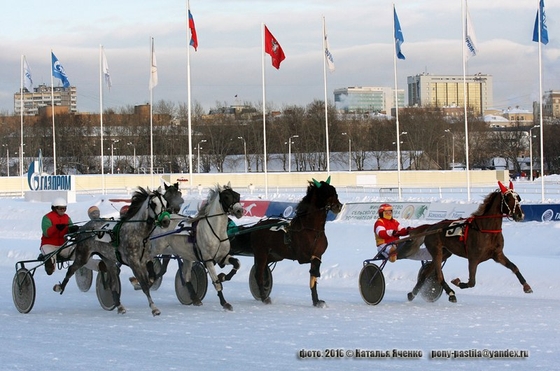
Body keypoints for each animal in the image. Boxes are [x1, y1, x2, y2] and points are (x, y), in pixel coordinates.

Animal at [54, 187, 171, 316]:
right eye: (153, 203)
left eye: (165, 203)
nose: (166, 221)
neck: (139, 234)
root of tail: (84, 227)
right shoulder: (134, 263)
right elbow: (144, 284)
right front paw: (154, 308)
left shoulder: (147, 258)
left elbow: (151, 277)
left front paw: (142, 282)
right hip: (83, 255)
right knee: (71, 269)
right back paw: (60, 287)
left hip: (107, 259)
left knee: (112, 281)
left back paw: (119, 306)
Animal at [230, 177, 344, 308]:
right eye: (325, 193)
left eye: (335, 192)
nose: (338, 206)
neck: (311, 229)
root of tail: (256, 227)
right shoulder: (303, 256)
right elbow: (314, 270)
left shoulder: (318, 254)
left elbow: (313, 277)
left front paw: (316, 301)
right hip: (261, 253)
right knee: (258, 274)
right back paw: (265, 298)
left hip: (275, 255)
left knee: (262, 271)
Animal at [404, 182, 532, 304]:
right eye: (508, 198)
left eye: (518, 198)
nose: (520, 215)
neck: (486, 229)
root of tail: (431, 227)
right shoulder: (473, 258)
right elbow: (472, 282)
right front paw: (456, 282)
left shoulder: (497, 254)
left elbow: (514, 267)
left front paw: (527, 286)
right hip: (436, 251)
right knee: (438, 275)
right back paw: (451, 294)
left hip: (445, 252)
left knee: (425, 274)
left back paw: (412, 294)